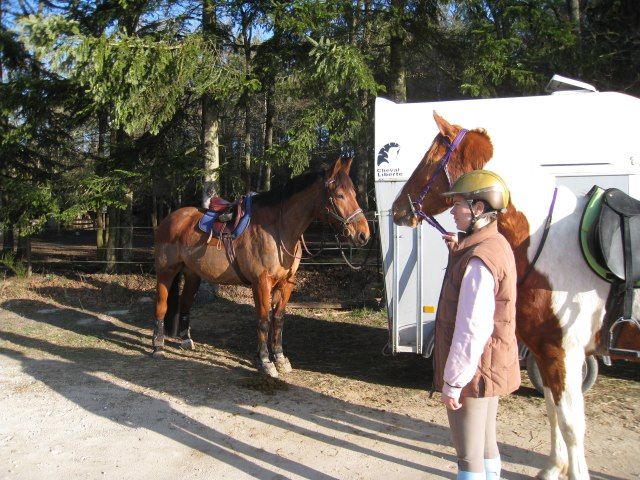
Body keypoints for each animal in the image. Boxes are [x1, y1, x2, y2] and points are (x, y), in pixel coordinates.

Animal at [152, 157, 370, 377]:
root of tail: (171, 219)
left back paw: (185, 340)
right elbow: (264, 321)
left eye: (354, 194)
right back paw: (158, 345)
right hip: (166, 272)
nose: (363, 234)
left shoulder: (286, 283)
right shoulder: (261, 283)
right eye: (340, 195)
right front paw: (266, 361)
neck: (278, 230)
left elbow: (278, 319)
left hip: (192, 274)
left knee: (186, 303)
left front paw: (280, 358)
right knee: (161, 305)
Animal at [391, 112, 639, 480]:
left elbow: (571, 424)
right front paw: (552, 468)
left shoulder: (564, 351)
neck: (547, 239)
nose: (397, 208)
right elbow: (552, 412)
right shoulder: (546, 351)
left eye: (431, 158)